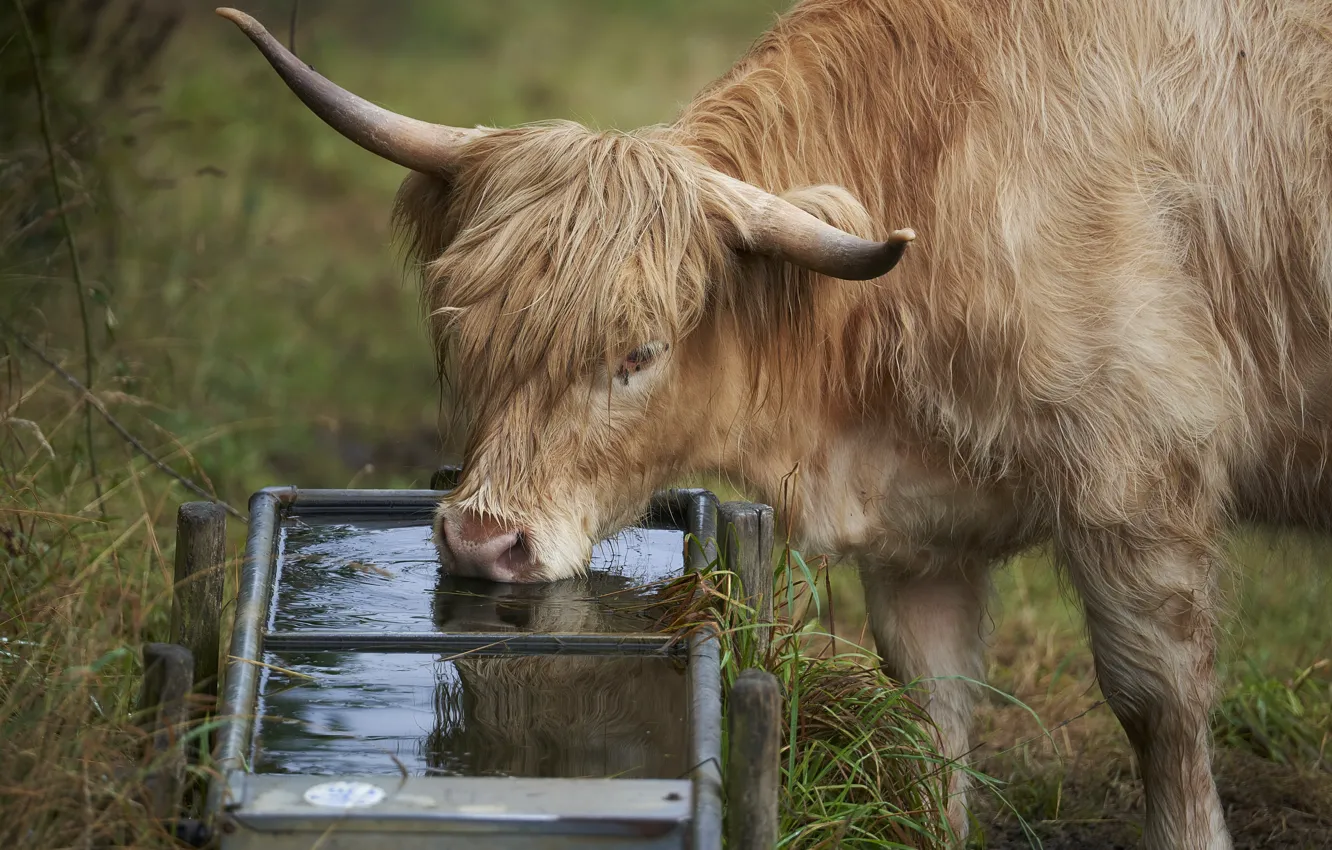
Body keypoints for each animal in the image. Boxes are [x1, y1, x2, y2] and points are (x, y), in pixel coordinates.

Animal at [219, 3, 1332, 847]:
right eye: (464, 332)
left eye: (639, 353)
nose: (482, 541)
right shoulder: (922, 539)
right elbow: (933, 712)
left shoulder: (1141, 488)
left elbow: (1158, 709)